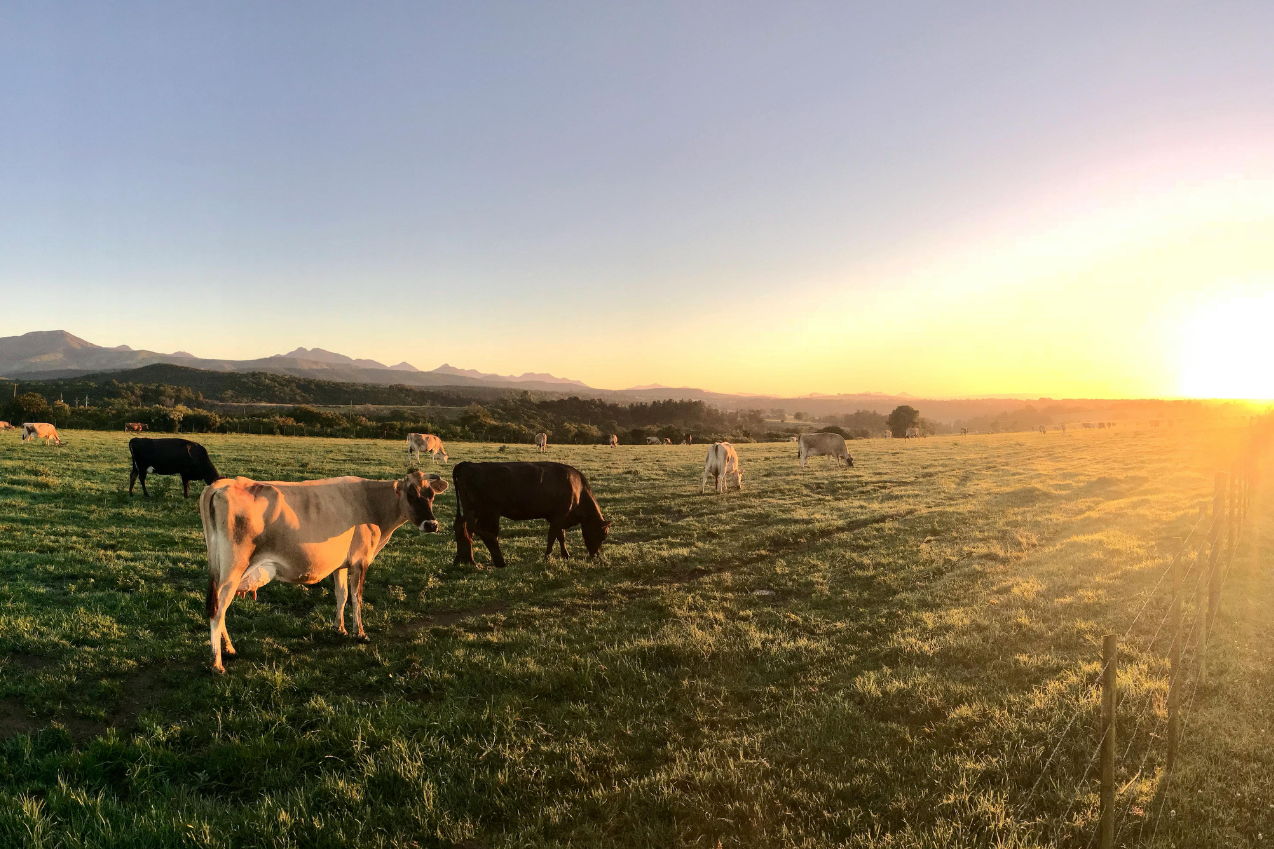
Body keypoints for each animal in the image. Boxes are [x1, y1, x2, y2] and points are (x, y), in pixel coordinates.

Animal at [200, 470, 449, 673]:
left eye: (431, 495)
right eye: (411, 495)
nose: (432, 525)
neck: (370, 502)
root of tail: (223, 484)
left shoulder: (341, 564)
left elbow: (342, 595)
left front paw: (340, 629)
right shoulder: (360, 560)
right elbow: (357, 597)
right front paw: (360, 633)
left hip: (221, 570)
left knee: (219, 608)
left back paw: (230, 650)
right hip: (232, 570)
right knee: (218, 610)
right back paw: (217, 663)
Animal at [451, 462, 609, 569]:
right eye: (602, 535)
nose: (596, 554)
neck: (578, 488)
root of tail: (467, 464)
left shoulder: (555, 517)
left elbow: (560, 536)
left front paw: (565, 555)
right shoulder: (560, 514)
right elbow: (553, 536)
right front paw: (547, 557)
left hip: (471, 510)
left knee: (463, 529)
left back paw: (463, 560)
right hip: (488, 512)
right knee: (486, 534)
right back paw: (496, 562)